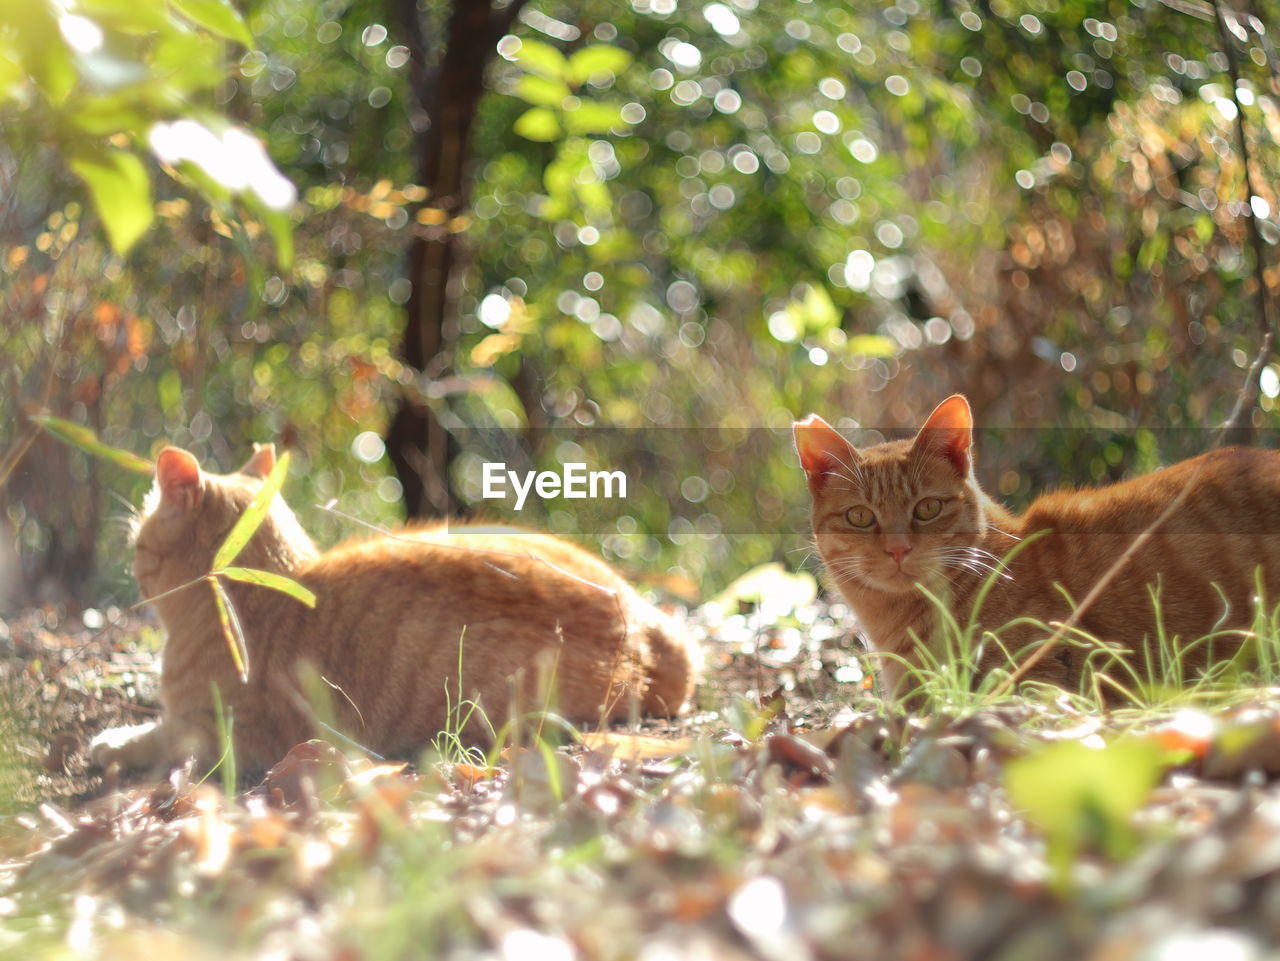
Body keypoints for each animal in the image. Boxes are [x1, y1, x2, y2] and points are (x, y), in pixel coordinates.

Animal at [92, 447, 701, 778]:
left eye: (138, 541)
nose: (127, 560)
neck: (261, 589)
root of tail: (645, 621)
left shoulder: (222, 737)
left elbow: (156, 737)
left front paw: (112, 743)